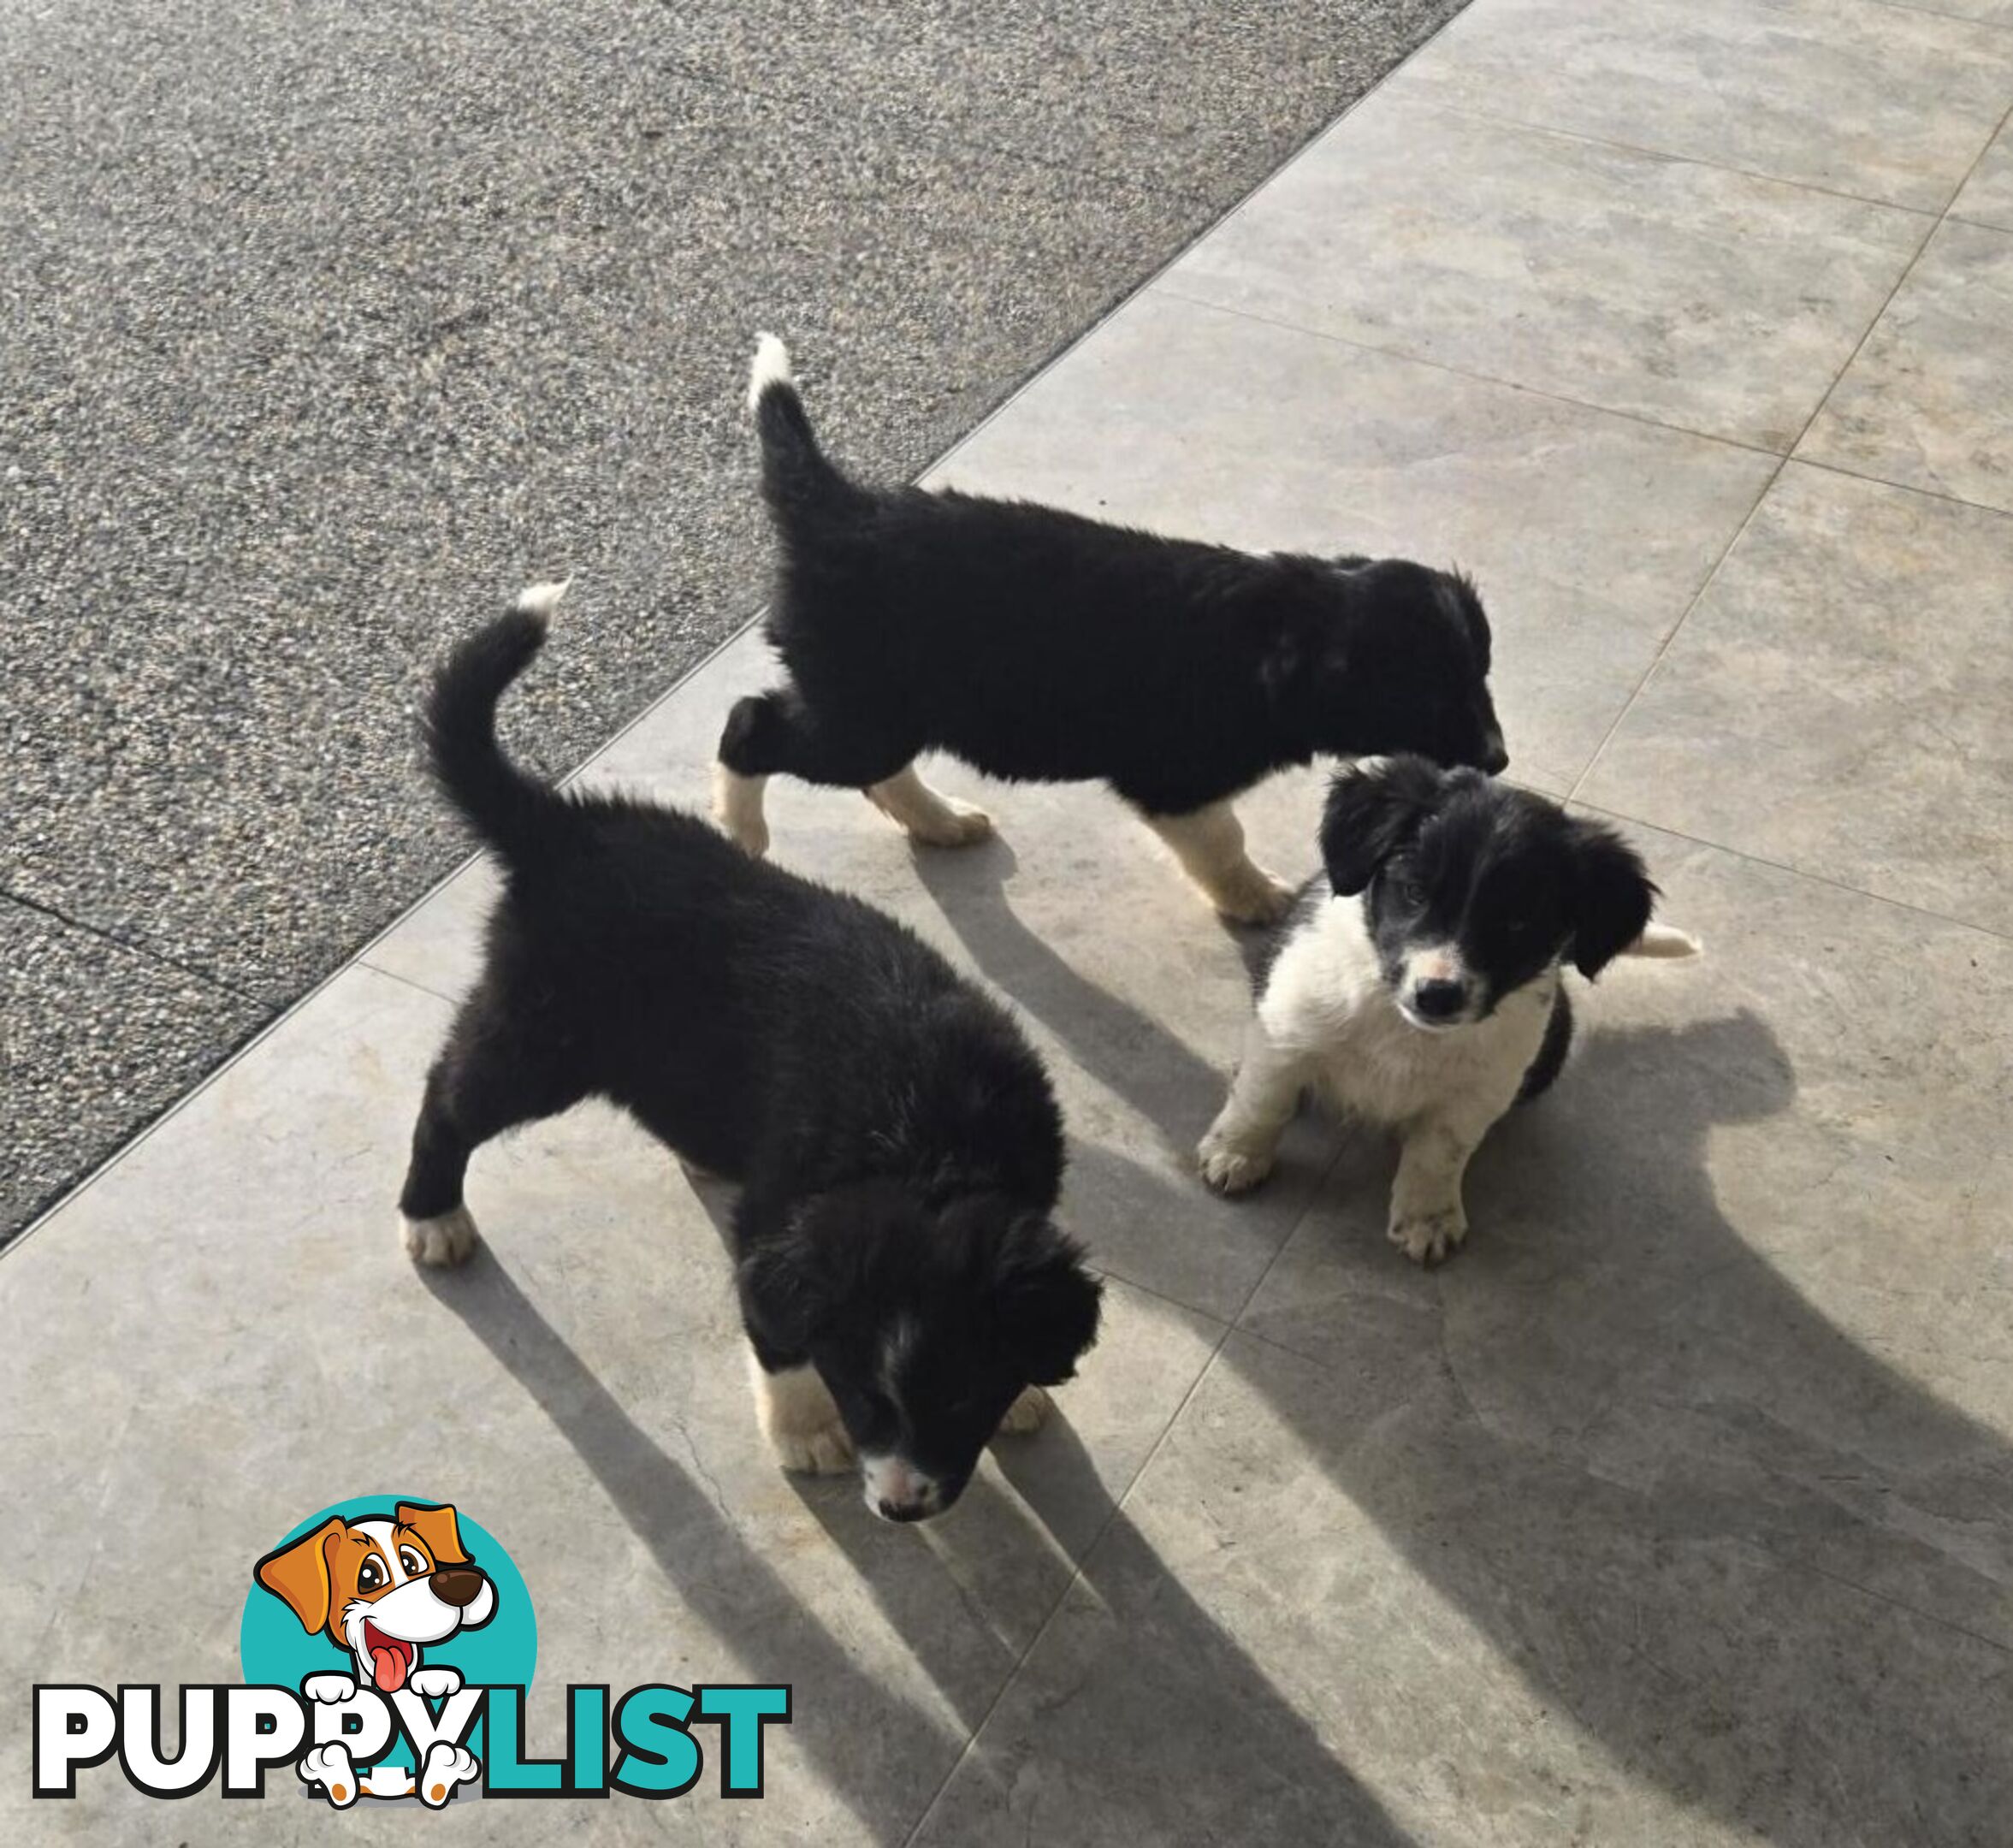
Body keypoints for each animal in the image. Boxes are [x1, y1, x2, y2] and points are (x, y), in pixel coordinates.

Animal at [402, 588, 1110, 1521]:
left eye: (962, 1396)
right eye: (862, 1396)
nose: (902, 1508)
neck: (931, 1145)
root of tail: (561, 824)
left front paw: (1025, 1394)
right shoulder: (778, 1232)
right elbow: (779, 1342)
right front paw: (805, 1434)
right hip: (541, 1035)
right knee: (447, 1098)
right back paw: (433, 1218)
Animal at [716, 334, 1506, 926]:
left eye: (1480, 677)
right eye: (1429, 697)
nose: (1498, 759)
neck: (1276, 635)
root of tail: (838, 513)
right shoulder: (1175, 776)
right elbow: (1223, 837)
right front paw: (1255, 898)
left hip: (878, 707)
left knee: (868, 769)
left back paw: (939, 821)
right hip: (864, 712)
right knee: (750, 724)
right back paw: (742, 833)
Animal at [1191, 761, 1698, 1264]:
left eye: (1519, 923)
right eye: (1415, 892)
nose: (1437, 995)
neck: (1404, 1026)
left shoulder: (1478, 1092)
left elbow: (1438, 1155)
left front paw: (1427, 1218)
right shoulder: (1288, 1028)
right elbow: (1263, 1100)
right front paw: (1237, 1154)